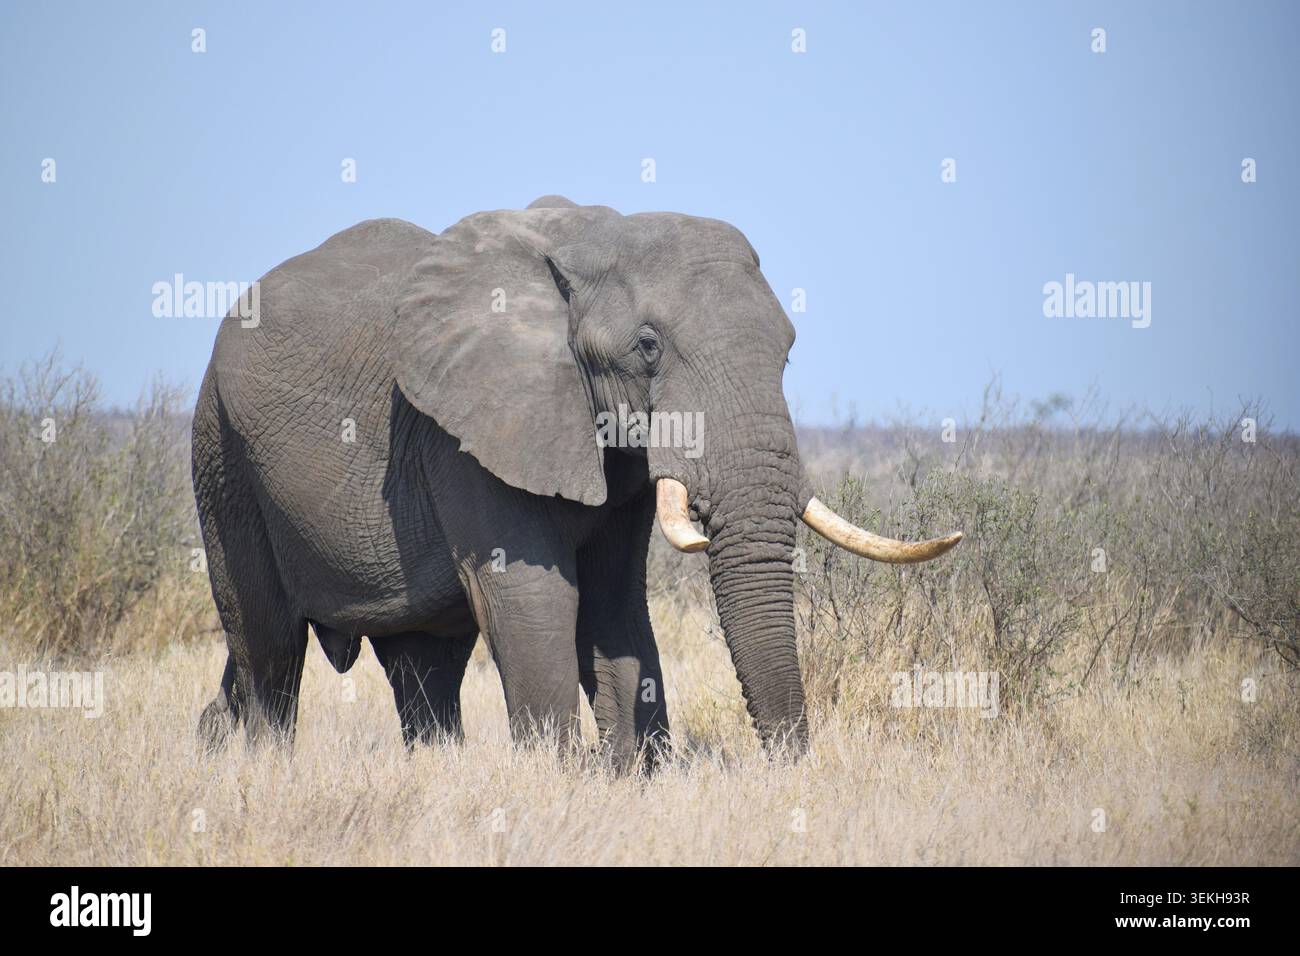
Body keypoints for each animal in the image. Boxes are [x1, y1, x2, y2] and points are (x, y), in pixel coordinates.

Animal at [192, 195, 961, 768]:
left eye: (788, 350)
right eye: (647, 347)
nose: (788, 769)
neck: (585, 243)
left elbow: (614, 602)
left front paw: (634, 775)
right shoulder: (466, 427)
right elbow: (535, 594)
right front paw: (557, 777)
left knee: (422, 664)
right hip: (221, 453)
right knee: (268, 645)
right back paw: (258, 765)